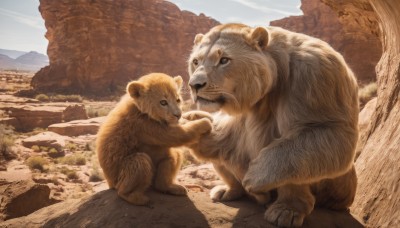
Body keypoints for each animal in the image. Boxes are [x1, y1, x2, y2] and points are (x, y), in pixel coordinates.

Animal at [186, 24, 358, 227]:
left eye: (224, 60)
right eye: (196, 61)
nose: (195, 85)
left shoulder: (318, 75)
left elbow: (330, 136)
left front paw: (255, 176)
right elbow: (227, 134)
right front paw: (194, 122)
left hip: (336, 185)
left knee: (297, 161)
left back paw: (286, 210)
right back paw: (227, 191)